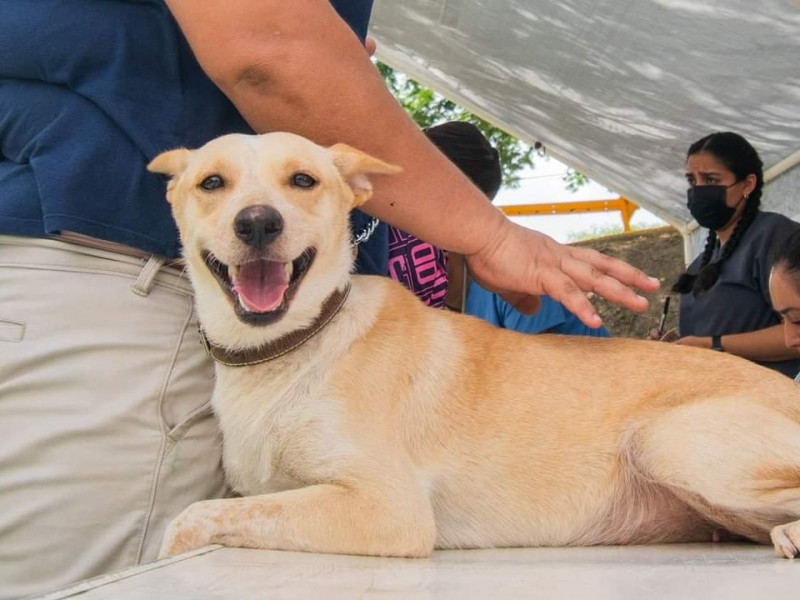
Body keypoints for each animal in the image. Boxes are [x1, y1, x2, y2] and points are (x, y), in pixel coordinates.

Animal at [148, 134, 800, 560]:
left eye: (303, 180)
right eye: (212, 183)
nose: (258, 223)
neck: (292, 347)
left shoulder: (390, 509)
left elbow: (188, 520)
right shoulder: (275, 491)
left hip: (666, 439)